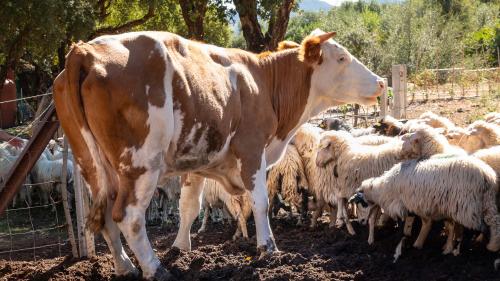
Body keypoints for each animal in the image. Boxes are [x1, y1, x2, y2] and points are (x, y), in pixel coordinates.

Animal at [53, 29, 382, 278]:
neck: (263, 81)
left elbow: (189, 207)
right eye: (342, 58)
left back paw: (125, 267)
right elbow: (260, 203)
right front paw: (269, 249)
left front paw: (181, 248)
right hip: (140, 165)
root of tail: (85, 50)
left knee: (106, 217)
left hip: (92, 165)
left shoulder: (196, 163)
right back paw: (154, 269)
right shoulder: (252, 150)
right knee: (129, 216)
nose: (380, 82)